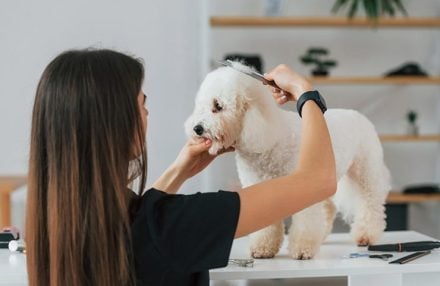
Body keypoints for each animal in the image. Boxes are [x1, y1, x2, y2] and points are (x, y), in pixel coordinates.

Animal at [184, 62, 390, 260]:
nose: (197, 128)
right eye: (200, 107)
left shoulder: (305, 185)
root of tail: (358, 115)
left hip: (366, 170)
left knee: (370, 201)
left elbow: (305, 219)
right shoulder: (260, 186)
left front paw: (302, 249)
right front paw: (263, 248)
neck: (269, 135)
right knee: (328, 207)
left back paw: (366, 235)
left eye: (218, 106)